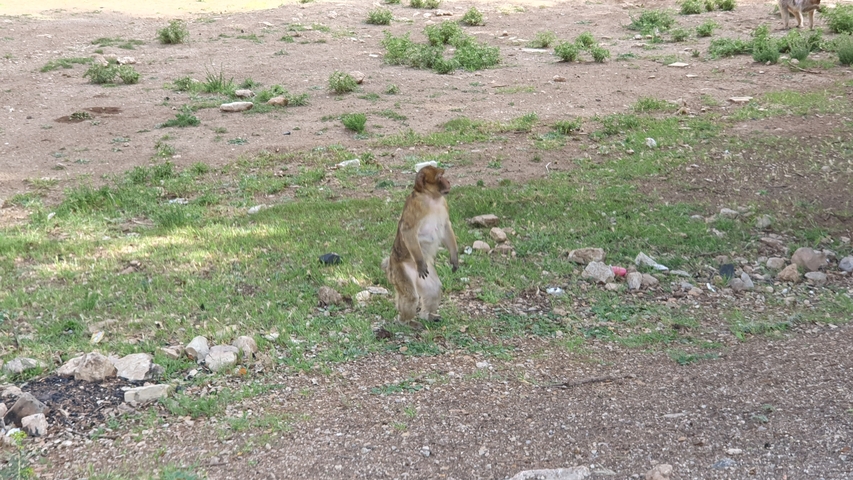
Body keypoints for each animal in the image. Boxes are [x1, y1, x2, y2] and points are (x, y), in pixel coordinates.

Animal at [386, 166, 459, 326]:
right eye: (439, 177)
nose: (448, 181)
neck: (431, 197)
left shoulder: (443, 204)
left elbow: (446, 226)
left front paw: (454, 258)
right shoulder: (417, 206)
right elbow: (408, 231)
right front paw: (420, 262)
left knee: (433, 290)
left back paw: (426, 316)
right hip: (399, 270)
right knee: (410, 297)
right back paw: (405, 321)